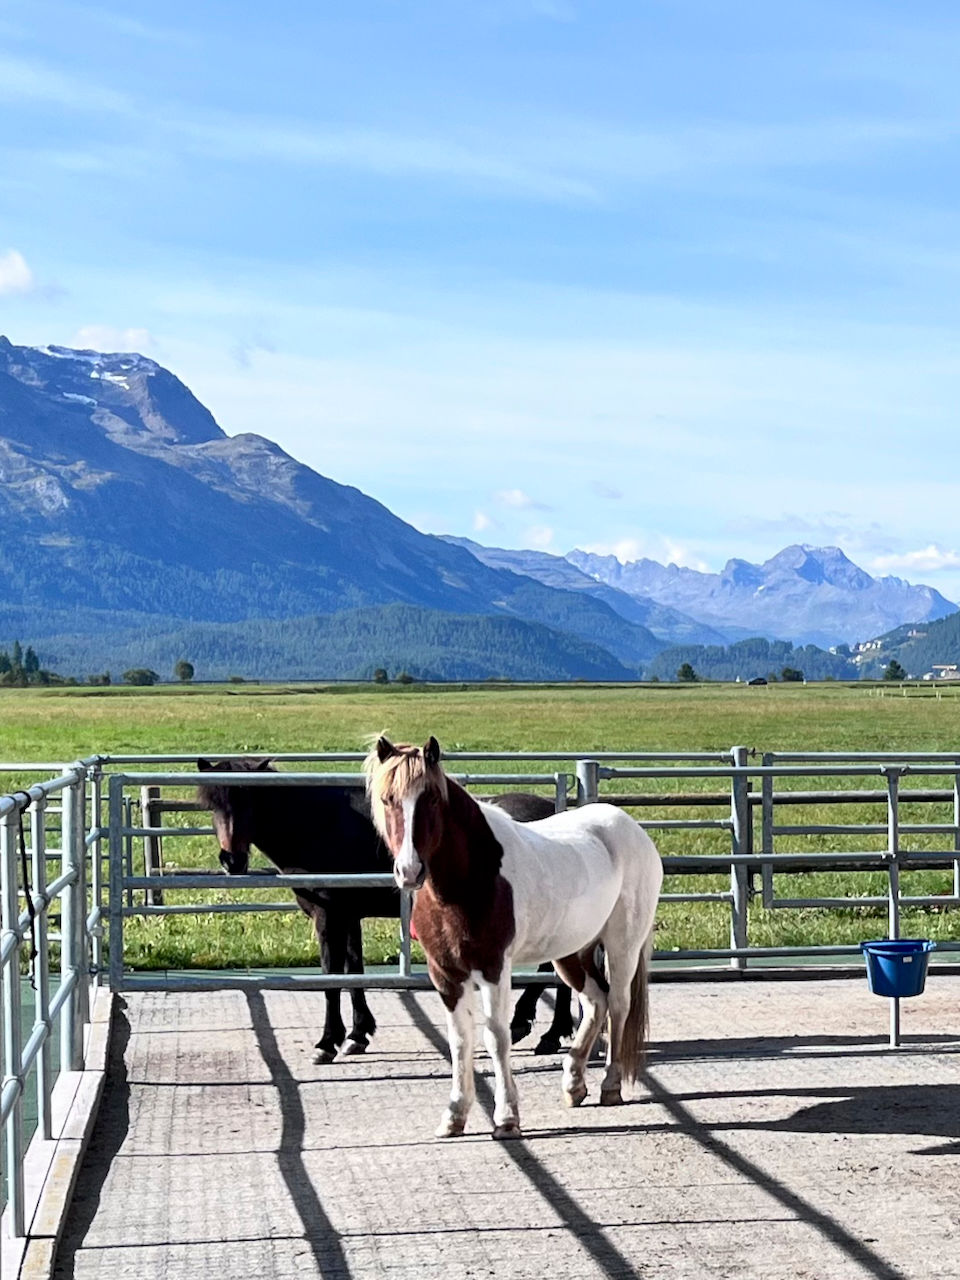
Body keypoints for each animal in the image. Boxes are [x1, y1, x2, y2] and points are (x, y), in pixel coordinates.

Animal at [196, 759, 573, 1063]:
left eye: (249, 800)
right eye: (212, 804)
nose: (232, 860)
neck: (320, 826)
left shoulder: (328, 917)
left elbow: (331, 977)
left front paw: (327, 1042)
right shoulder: (348, 917)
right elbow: (354, 972)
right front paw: (357, 1034)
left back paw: (532, 1026)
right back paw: (550, 1031)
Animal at [364, 736, 663, 1140]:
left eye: (432, 799)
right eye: (387, 799)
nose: (409, 871)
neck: (471, 877)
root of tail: (631, 828)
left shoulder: (493, 967)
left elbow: (496, 1037)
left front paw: (506, 1117)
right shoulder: (445, 973)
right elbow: (459, 1041)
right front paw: (454, 1116)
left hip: (622, 945)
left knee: (617, 1005)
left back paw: (610, 1086)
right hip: (571, 952)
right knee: (594, 1001)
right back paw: (573, 1085)